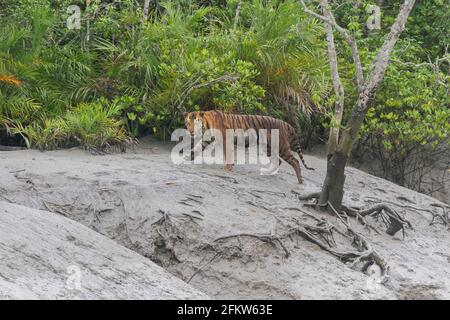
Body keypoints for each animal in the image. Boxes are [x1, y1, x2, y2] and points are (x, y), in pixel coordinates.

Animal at [183, 110, 312, 184]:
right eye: (188, 123)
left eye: (195, 123)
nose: (191, 132)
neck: (206, 125)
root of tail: (285, 123)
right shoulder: (207, 138)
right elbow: (197, 147)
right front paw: (188, 157)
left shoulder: (225, 140)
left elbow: (227, 154)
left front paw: (228, 168)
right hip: (268, 147)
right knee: (278, 161)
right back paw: (267, 172)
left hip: (281, 147)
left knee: (295, 161)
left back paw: (300, 180)